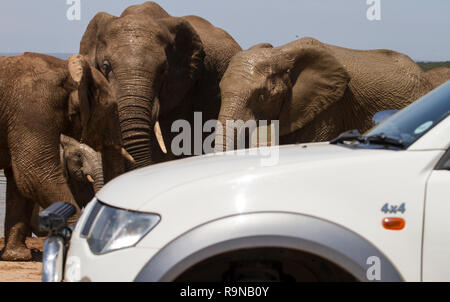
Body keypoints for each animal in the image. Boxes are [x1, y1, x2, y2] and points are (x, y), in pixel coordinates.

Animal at [0, 52, 132, 260]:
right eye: (113, 109)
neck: (68, 72)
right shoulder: (33, 109)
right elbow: (35, 175)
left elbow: (19, 181)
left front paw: (17, 256)